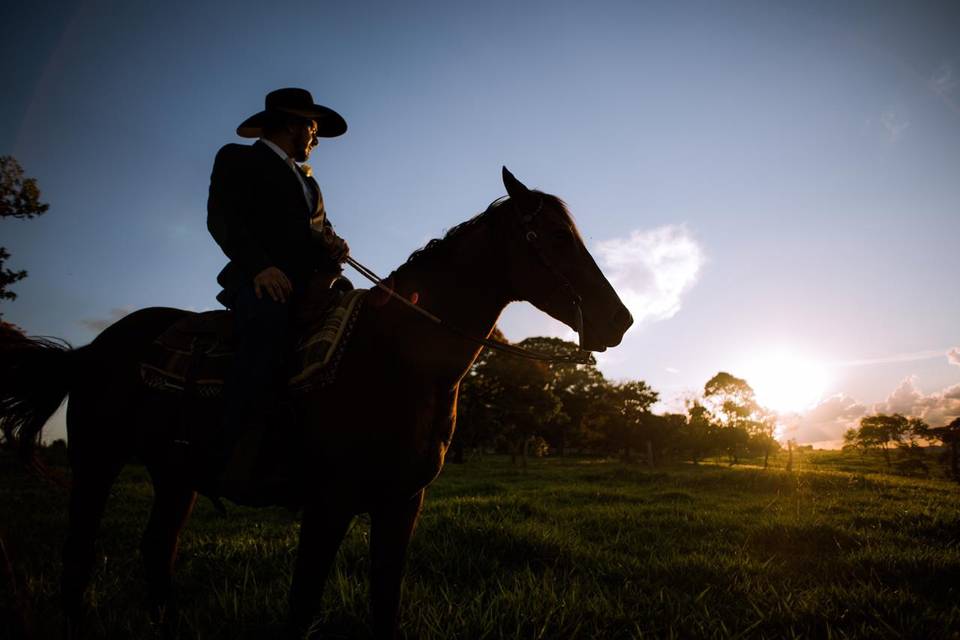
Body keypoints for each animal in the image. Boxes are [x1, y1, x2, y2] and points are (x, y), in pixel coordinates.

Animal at [3, 168, 632, 636]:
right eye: (555, 238)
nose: (619, 320)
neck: (394, 357)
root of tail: (94, 348)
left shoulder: (402, 503)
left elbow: (385, 606)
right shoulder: (329, 503)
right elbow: (302, 607)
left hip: (174, 475)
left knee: (157, 553)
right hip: (96, 461)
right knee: (78, 559)